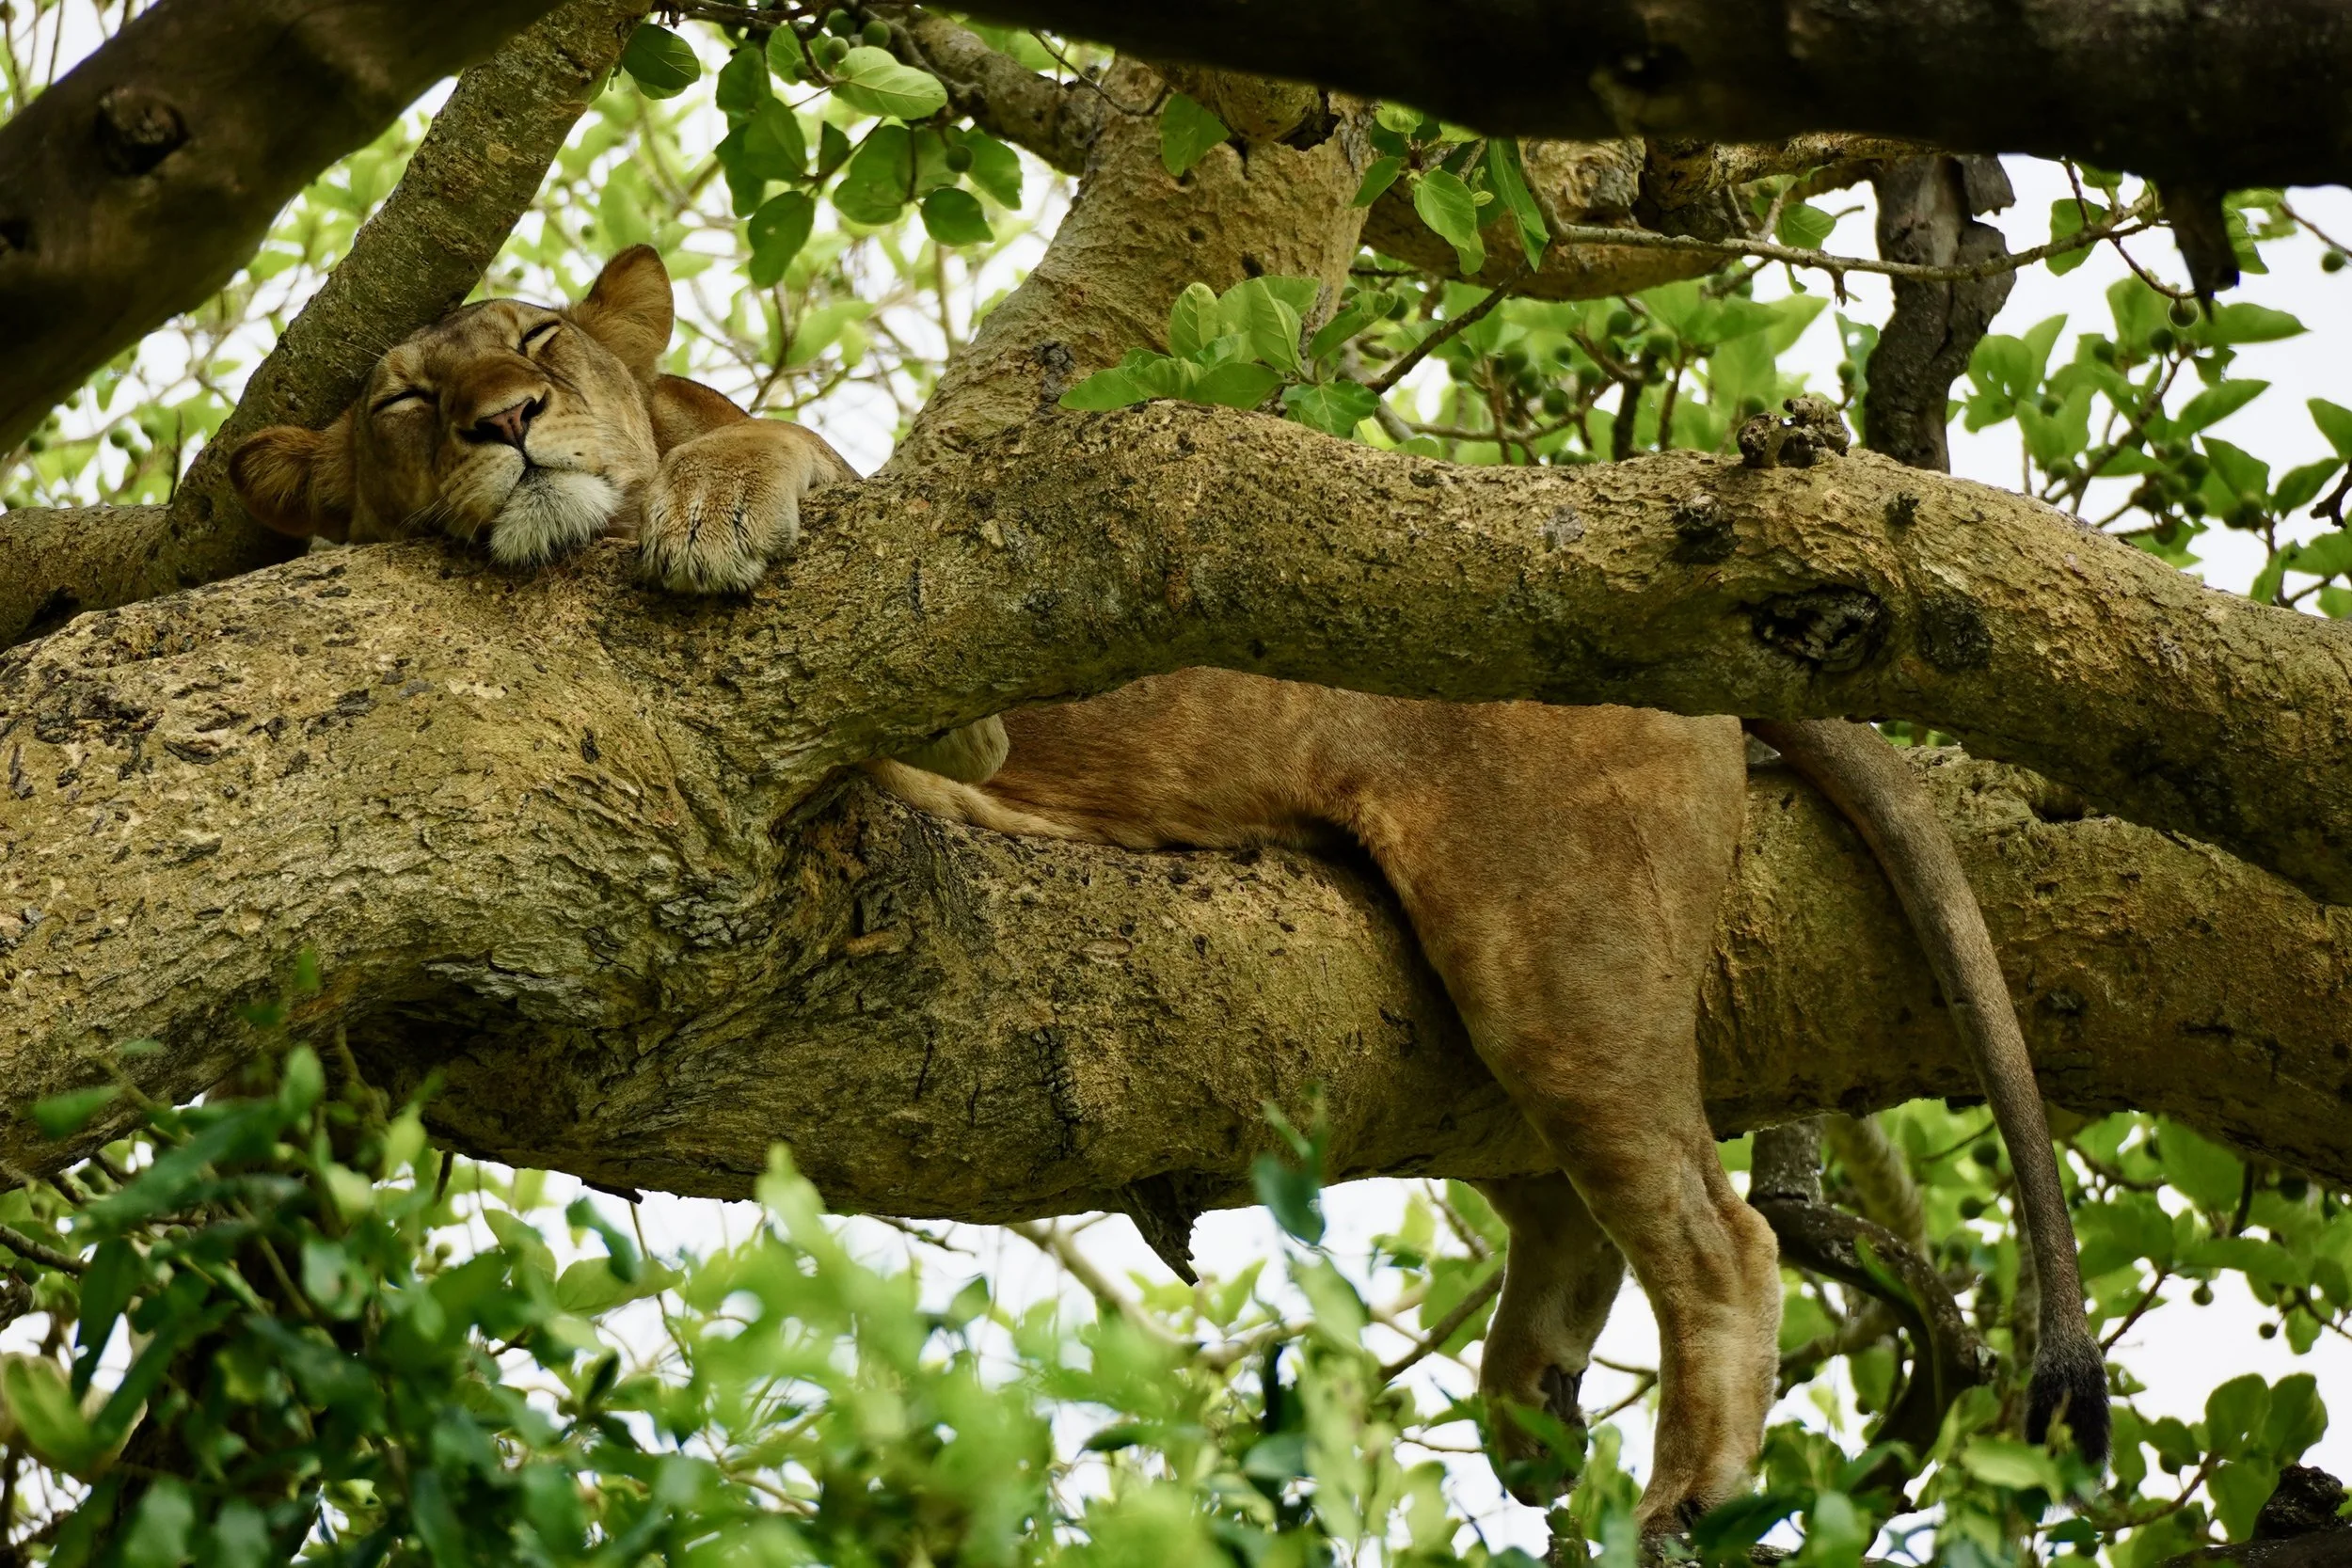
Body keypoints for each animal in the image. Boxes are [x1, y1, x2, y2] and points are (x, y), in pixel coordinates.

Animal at [231, 246, 2107, 1532]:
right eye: (405, 403)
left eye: (545, 342)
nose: (507, 423)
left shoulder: (953, 688)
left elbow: (778, 452)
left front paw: (712, 512)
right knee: (1573, 1201)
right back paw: (1526, 1410)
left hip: (1554, 939)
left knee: (1716, 1234)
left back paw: (1688, 1496)